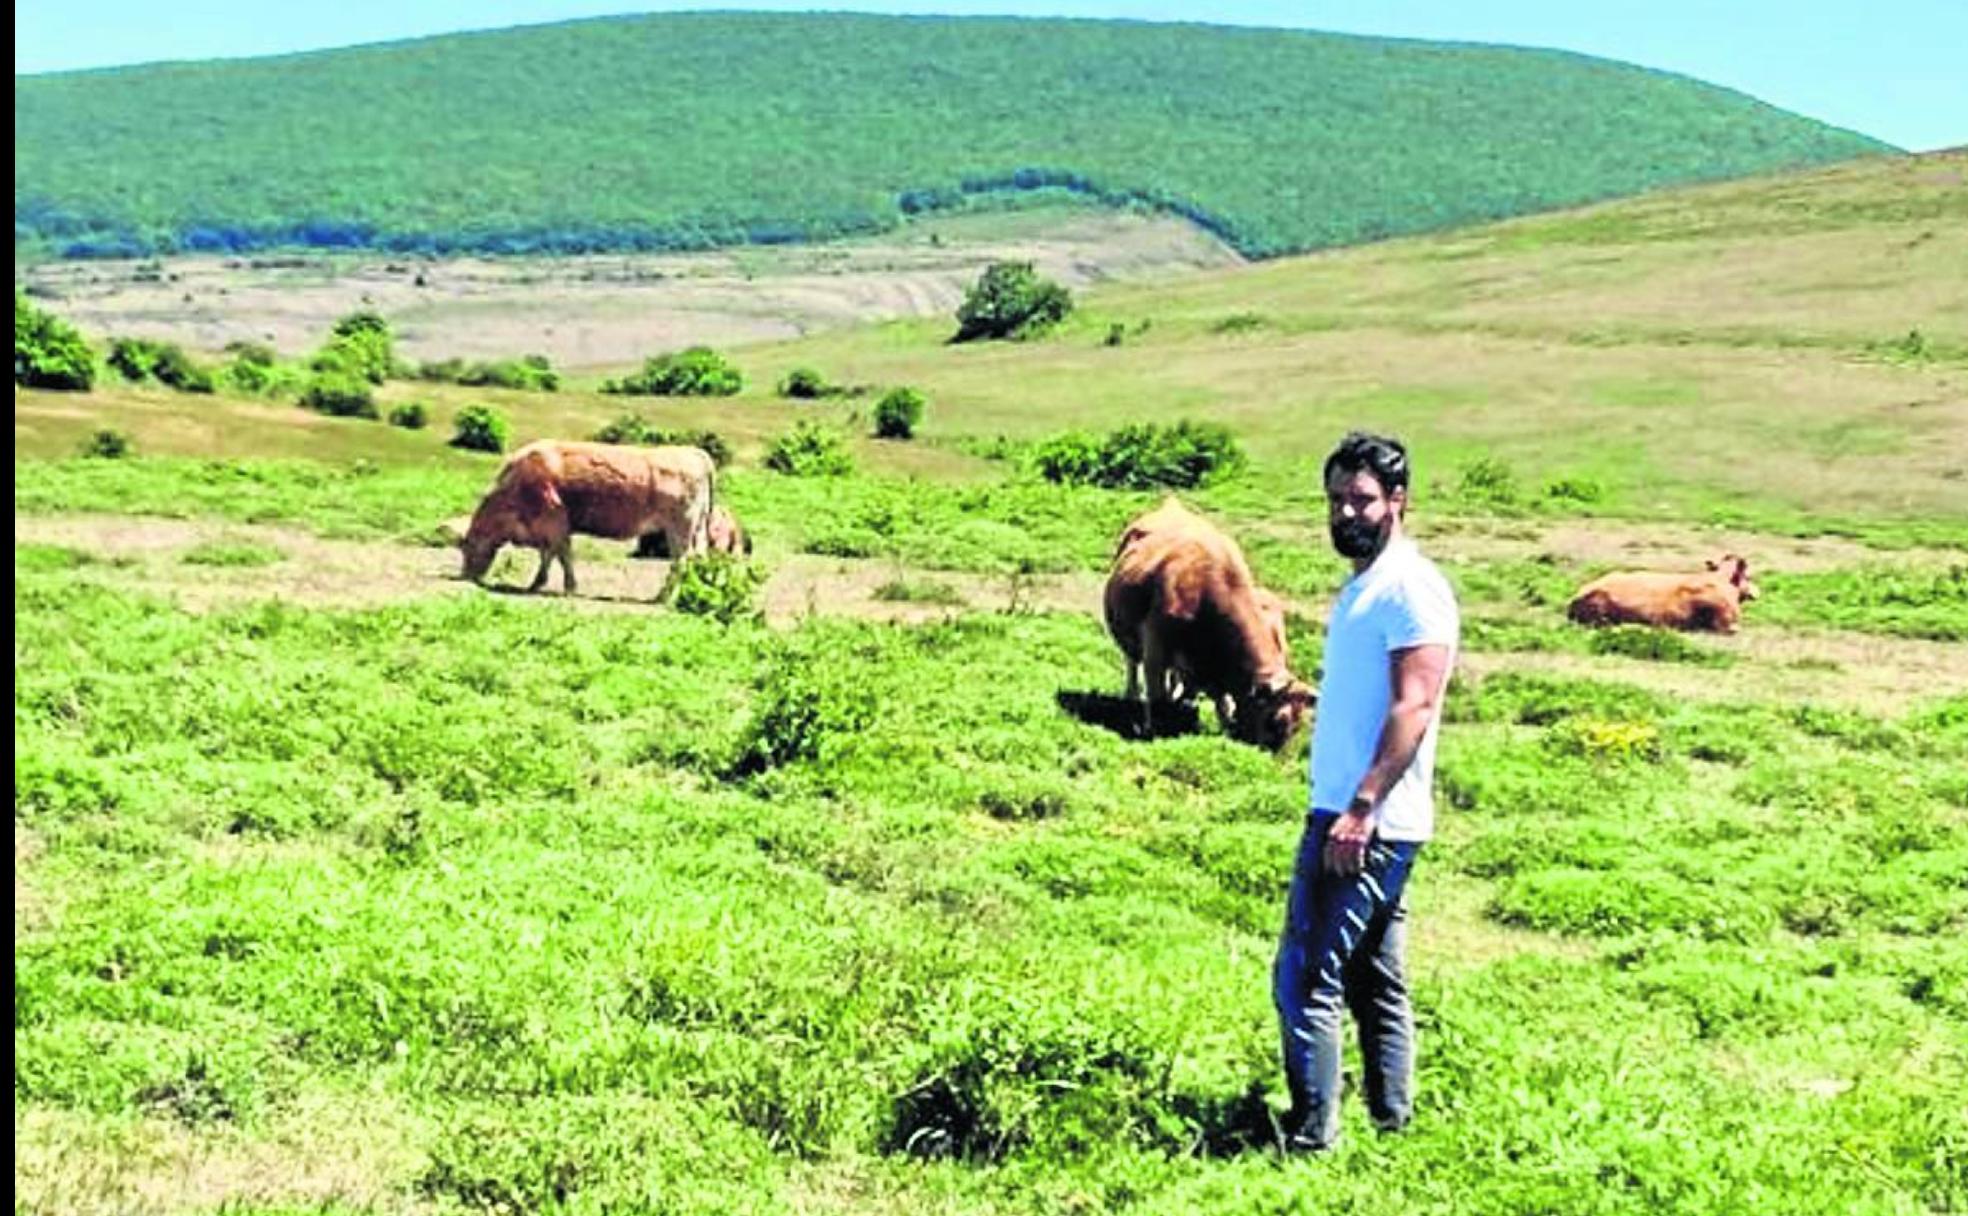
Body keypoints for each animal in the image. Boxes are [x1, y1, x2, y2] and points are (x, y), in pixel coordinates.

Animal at [458, 438, 716, 594]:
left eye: (467, 547)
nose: (466, 576)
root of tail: (692, 451)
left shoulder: (554, 522)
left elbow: (561, 555)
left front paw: (567, 586)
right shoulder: (547, 530)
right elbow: (549, 556)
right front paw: (537, 583)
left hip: (680, 528)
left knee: (681, 561)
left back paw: (663, 596)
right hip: (697, 529)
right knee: (697, 558)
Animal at [1109, 493, 1306, 743]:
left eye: (1297, 727)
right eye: (1274, 721)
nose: (1261, 753)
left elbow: (1219, 702)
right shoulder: (1156, 648)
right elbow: (1157, 695)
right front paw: (1154, 730)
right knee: (1132, 664)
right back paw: (1132, 695)